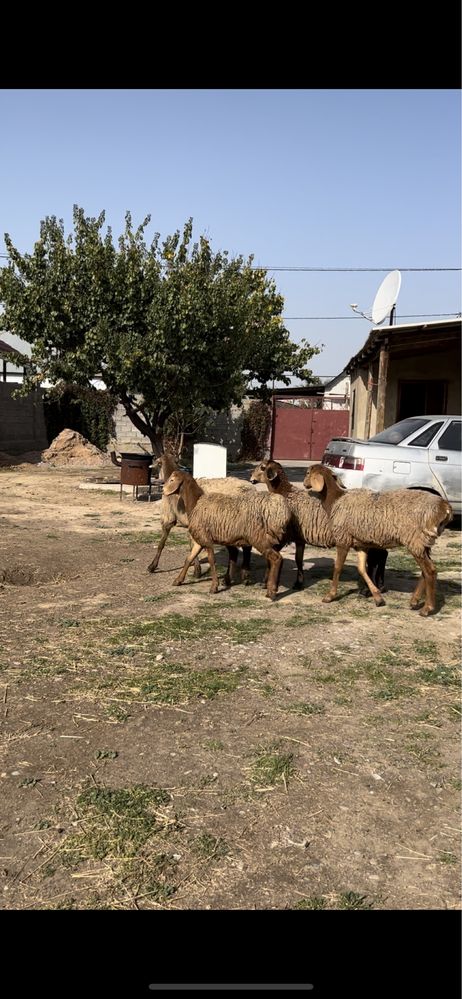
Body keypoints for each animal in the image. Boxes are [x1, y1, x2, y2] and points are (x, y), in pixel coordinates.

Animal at [147, 450, 253, 584]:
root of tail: (251, 489)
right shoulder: (190, 525)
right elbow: (192, 545)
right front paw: (197, 570)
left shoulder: (168, 519)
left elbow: (161, 544)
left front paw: (152, 566)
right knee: (245, 548)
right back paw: (242, 576)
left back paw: (237, 576)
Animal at [164, 470, 290, 600]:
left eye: (172, 480)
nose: (163, 490)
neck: (196, 502)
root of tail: (282, 513)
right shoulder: (200, 539)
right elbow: (189, 559)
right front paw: (178, 580)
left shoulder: (207, 540)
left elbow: (212, 560)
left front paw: (214, 586)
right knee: (276, 559)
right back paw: (268, 585)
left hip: (260, 539)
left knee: (276, 558)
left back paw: (271, 592)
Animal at [251, 460, 388, 592]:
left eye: (262, 467)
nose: (251, 478)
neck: (285, 492)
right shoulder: (300, 538)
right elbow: (298, 559)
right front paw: (298, 583)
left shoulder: (285, 536)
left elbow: (271, 558)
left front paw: (266, 582)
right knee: (382, 555)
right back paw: (380, 585)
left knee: (374, 560)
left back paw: (367, 589)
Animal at [304, 462, 452, 616]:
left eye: (308, 473)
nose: (304, 484)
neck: (335, 500)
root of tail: (444, 507)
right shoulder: (360, 544)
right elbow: (362, 569)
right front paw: (377, 597)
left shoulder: (343, 539)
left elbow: (338, 567)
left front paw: (330, 596)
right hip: (425, 542)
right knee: (425, 571)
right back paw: (414, 601)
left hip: (415, 540)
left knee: (430, 571)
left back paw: (427, 608)